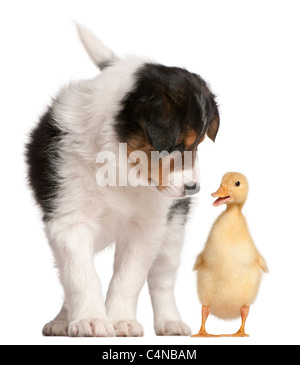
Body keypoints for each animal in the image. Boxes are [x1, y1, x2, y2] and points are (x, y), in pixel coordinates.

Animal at [25, 22, 219, 336]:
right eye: (177, 145)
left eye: (198, 145)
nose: (193, 188)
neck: (120, 168)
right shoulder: (70, 221)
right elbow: (81, 276)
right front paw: (90, 320)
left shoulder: (147, 227)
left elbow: (129, 278)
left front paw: (121, 322)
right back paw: (63, 321)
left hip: (173, 228)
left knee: (163, 277)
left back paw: (170, 322)